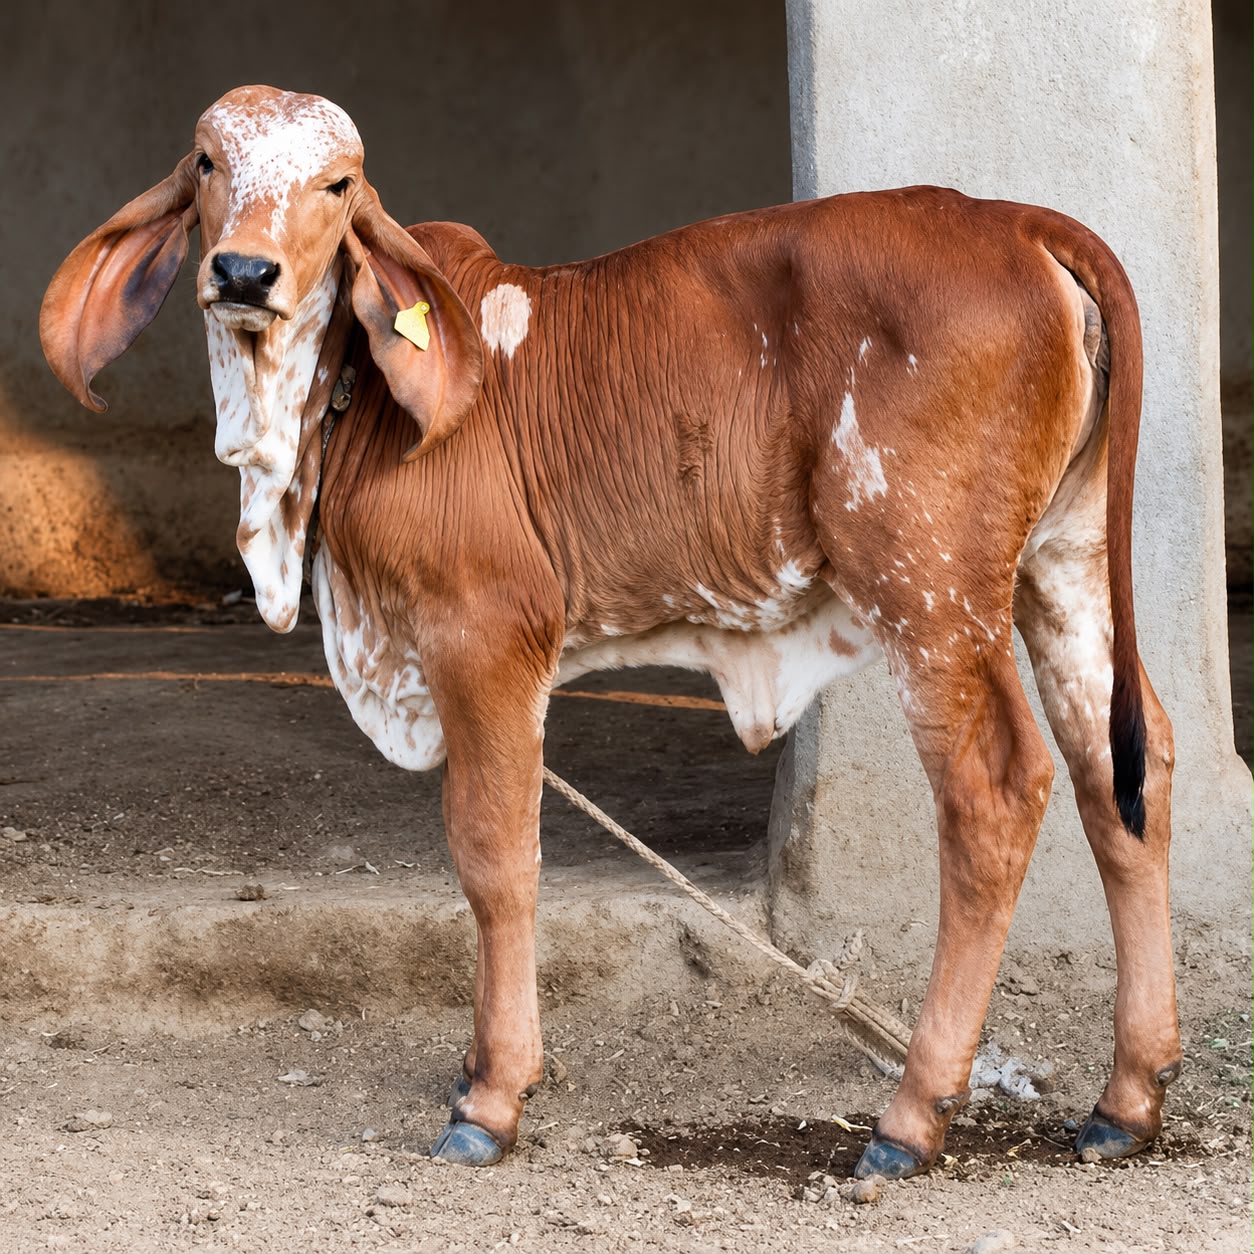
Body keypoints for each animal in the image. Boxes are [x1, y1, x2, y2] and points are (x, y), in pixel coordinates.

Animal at [40, 85, 1180, 1178]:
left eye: (338, 183)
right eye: (206, 163)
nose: (243, 271)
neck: (329, 413)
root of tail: (1015, 221)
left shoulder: (484, 633)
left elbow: (496, 854)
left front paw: (492, 1096)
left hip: (928, 588)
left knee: (997, 792)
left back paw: (913, 1116)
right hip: (1059, 564)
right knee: (1124, 766)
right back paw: (1127, 1099)